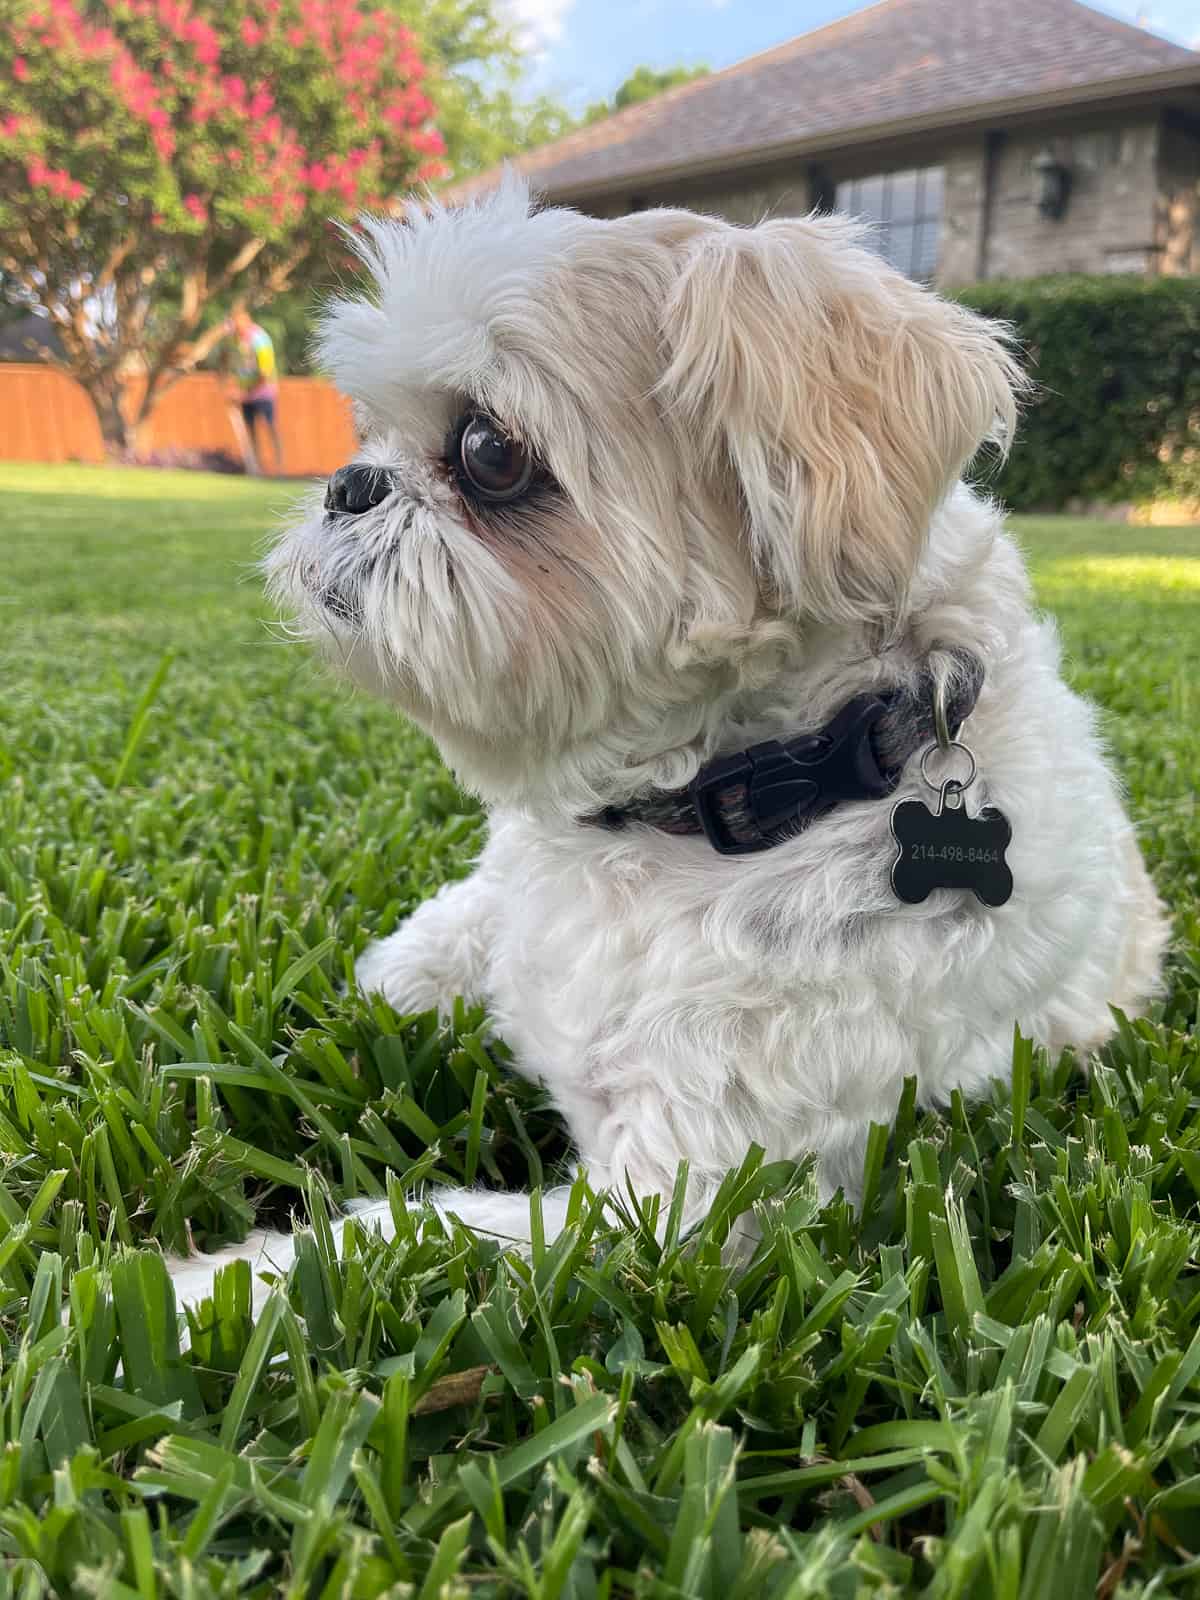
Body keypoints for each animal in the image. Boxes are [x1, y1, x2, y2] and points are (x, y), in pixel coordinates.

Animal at [169, 181, 1164, 1312]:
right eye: (365, 428)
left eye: (488, 449)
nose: (349, 483)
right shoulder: (504, 904)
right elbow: (419, 951)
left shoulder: (670, 1209)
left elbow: (405, 1240)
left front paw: (197, 1292)